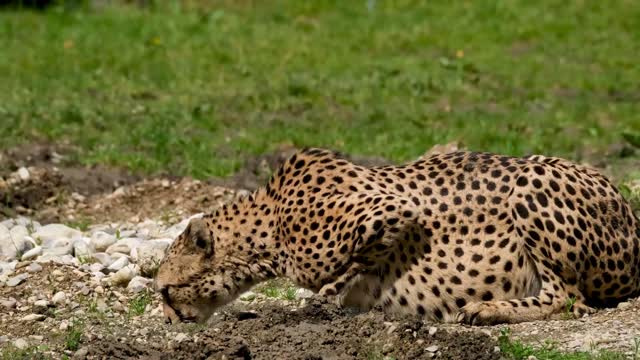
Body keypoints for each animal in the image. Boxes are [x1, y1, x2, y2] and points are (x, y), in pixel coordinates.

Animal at [155, 148, 640, 324]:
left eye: (163, 290)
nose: (168, 320)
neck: (268, 220)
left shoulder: (390, 208)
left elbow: (347, 266)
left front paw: (332, 292)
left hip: (533, 178)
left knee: (569, 299)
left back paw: (488, 309)